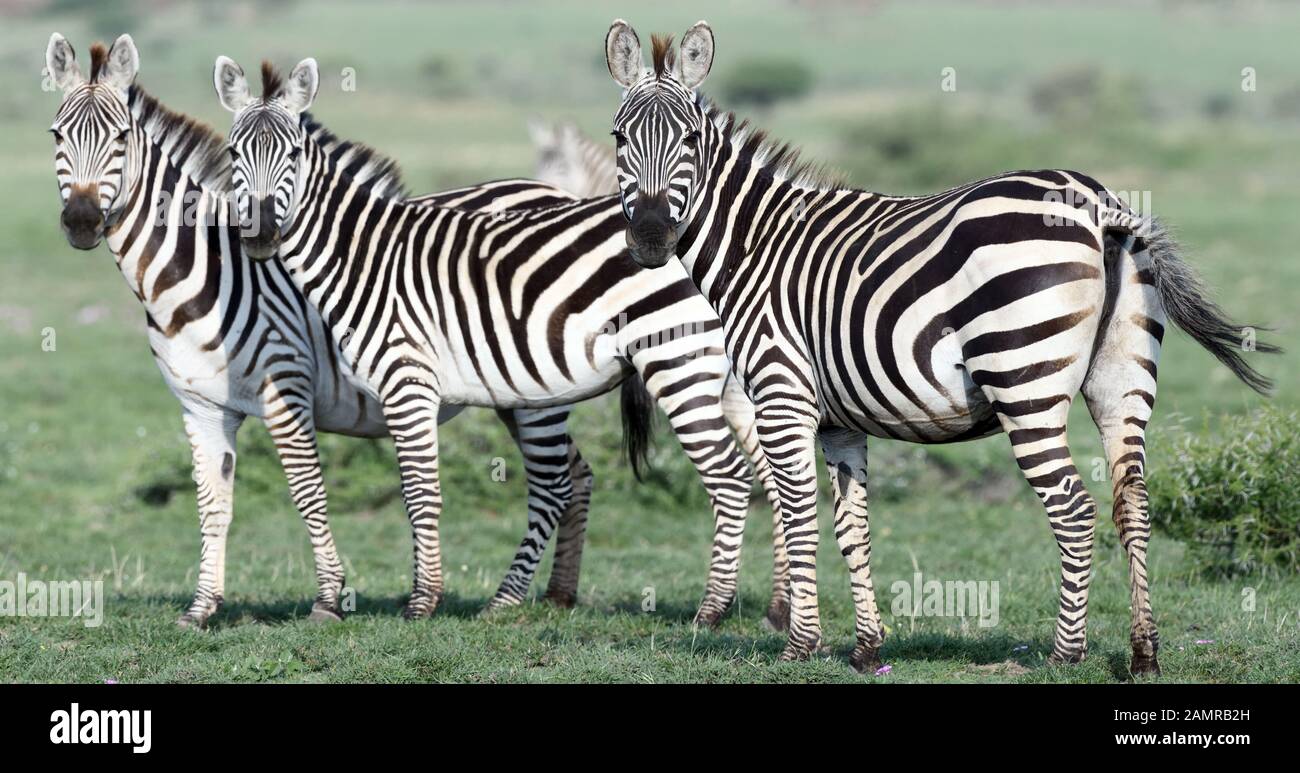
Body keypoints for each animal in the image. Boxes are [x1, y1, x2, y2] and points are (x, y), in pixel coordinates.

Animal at [45, 32, 636, 628]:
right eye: (56, 135)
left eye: (121, 138)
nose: (81, 222)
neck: (198, 277)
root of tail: (552, 193)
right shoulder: (201, 408)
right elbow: (213, 506)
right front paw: (201, 607)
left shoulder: (286, 387)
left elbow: (309, 493)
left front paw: (329, 599)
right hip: (519, 391)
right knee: (578, 474)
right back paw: (559, 593)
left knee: (552, 482)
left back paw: (507, 599)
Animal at [213, 55, 793, 628]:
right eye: (233, 153)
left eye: (291, 154)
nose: (259, 235)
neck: (364, 256)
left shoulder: (407, 382)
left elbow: (419, 492)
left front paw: (422, 602)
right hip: (726, 376)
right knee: (771, 474)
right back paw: (778, 608)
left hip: (678, 363)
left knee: (729, 477)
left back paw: (712, 610)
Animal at [602, 20, 1279, 674]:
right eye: (618, 138)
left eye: (690, 141)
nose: (652, 238)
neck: (759, 247)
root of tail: (1098, 205)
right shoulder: (839, 420)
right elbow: (852, 527)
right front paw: (866, 648)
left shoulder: (781, 395)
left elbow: (798, 513)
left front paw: (799, 645)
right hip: (1124, 381)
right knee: (1132, 503)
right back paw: (1143, 653)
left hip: (1024, 382)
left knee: (1073, 510)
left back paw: (1065, 653)